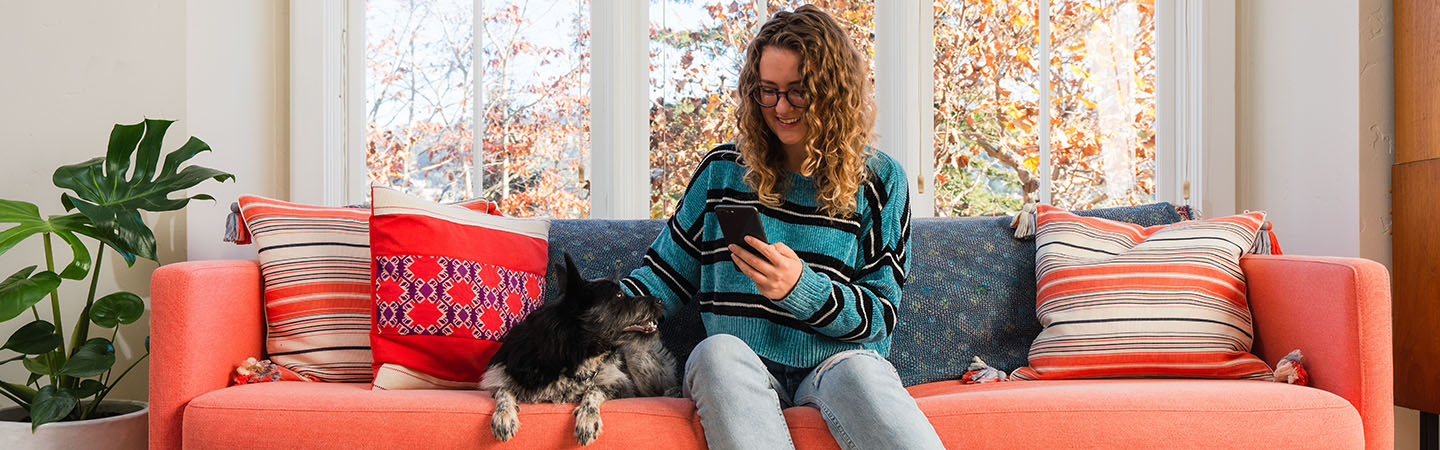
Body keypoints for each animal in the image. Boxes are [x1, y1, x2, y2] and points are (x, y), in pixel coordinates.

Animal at [480, 255, 676, 444]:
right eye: (619, 295)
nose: (660, 300)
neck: (568, 356)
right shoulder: (500, 374)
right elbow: (504, 390)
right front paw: (503, 416)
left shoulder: (621, 385)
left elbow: (594, 390)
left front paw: (588, 419)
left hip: (638, 357)